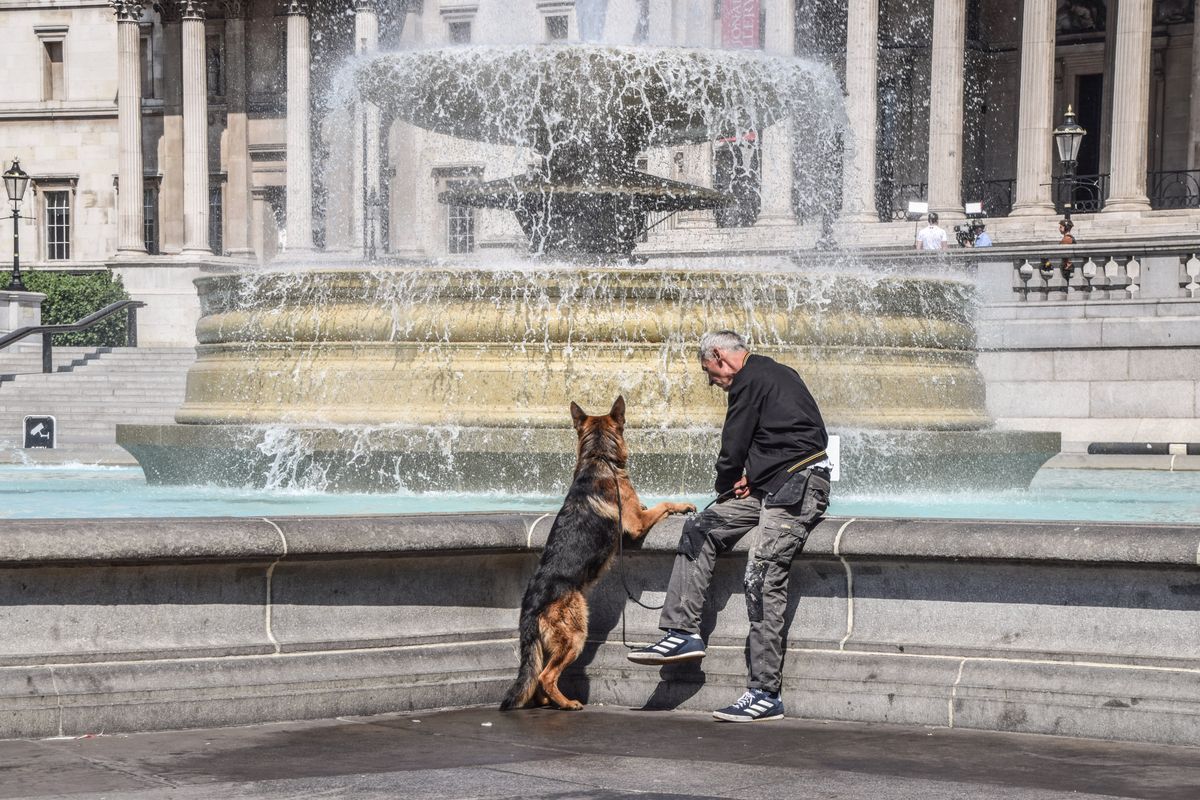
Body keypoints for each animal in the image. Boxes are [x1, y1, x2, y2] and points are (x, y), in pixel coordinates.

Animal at [499, 398, 700, 710]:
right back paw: (568, 703)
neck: (598, 457)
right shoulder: (637, 522)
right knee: (546, 676)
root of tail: (531, 604)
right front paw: (683, 506)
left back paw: (549, 702)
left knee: (539, 677)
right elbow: (663, 504)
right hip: (575, 634)